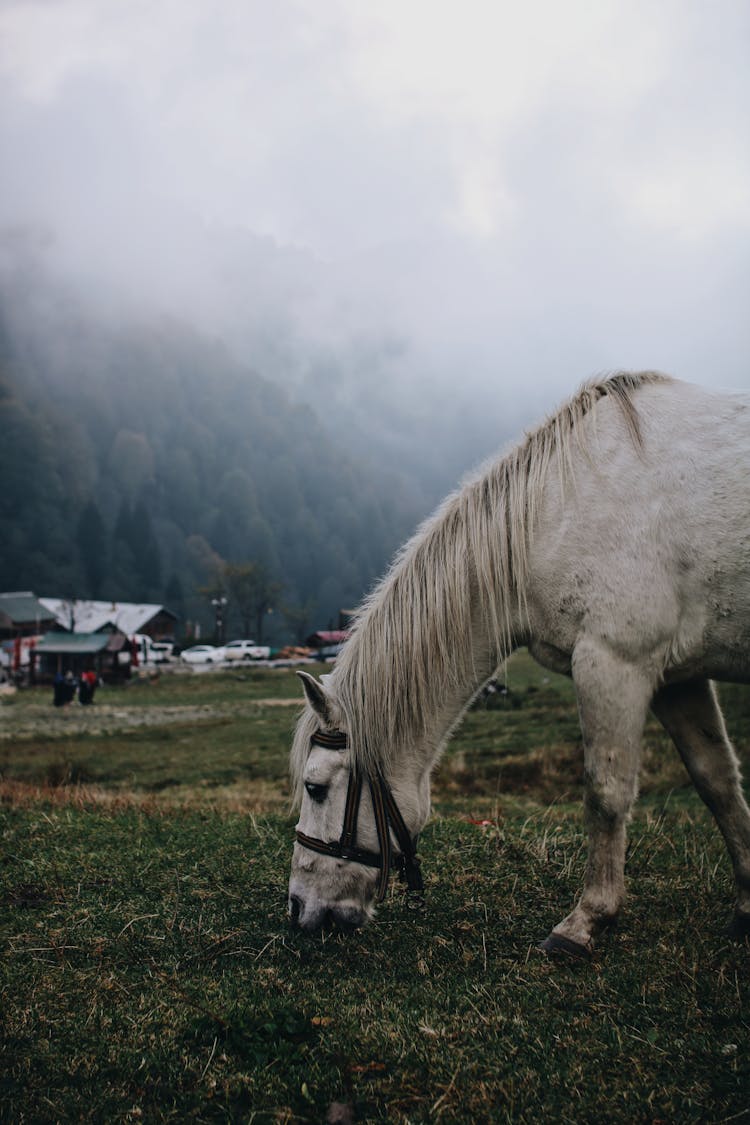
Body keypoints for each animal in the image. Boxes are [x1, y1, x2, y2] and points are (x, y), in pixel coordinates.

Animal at [290, 373, 750, 954]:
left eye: (315, 788)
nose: (297, 908)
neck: (555, 509)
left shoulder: (613, 661)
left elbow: (606, 792)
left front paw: (585, 920)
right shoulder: (676, 678)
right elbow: (717, 780)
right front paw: (747, 905)